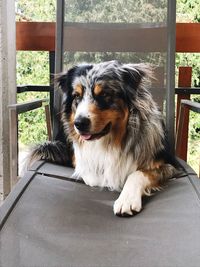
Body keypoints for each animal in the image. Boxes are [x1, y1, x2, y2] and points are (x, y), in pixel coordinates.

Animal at [29, 60, 177, 218]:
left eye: (104, 94)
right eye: (76, 96)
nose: (79, 123)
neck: (110, 140)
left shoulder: (169, 165)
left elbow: (137, 173)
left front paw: (127, 199)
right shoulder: (79, 160)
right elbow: (95, 175)